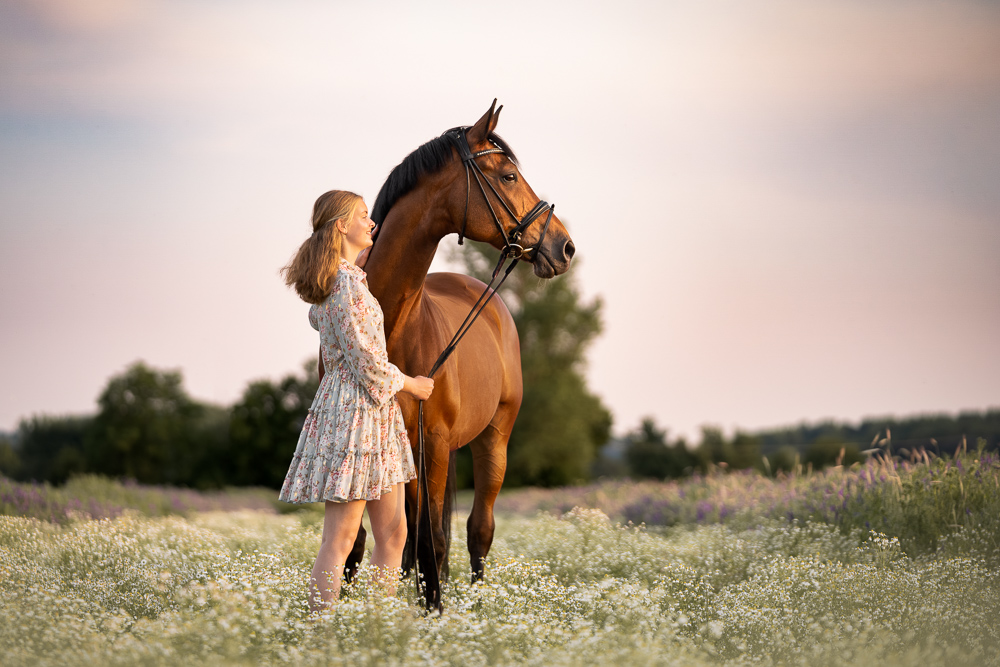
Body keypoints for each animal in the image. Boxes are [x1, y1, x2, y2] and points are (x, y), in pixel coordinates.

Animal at [345, 101, 575, 609]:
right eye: (508, 175)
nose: (565, 246)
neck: (393, 325)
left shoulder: (435, 446)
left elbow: (432, 540)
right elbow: (364, 541)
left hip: (493, 441)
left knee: (477, 530)